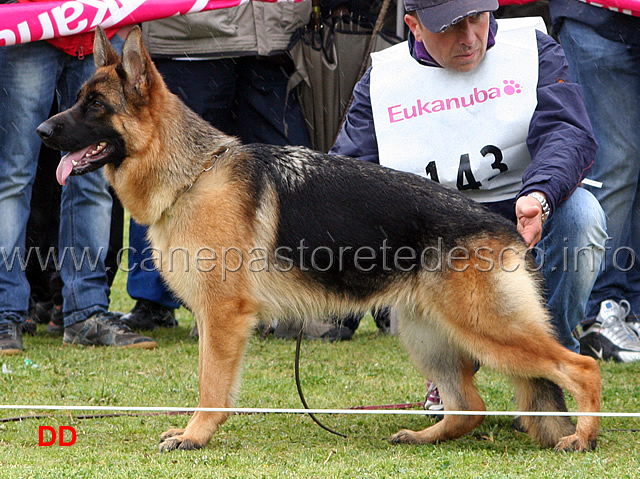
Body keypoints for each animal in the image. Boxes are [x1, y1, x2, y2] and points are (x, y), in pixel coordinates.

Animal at [38, 26, 600, 454]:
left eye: (95, 106)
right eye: (78, 101)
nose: (43, 130)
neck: (193, 175)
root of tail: (504, 227)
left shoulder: (222, 318)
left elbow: (211, 385)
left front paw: (196, 436)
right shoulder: (213, 319)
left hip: (487, 328)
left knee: (583, 368)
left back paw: (582, 437)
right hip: (429, 332)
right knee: (471, 407)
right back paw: (424, 435)